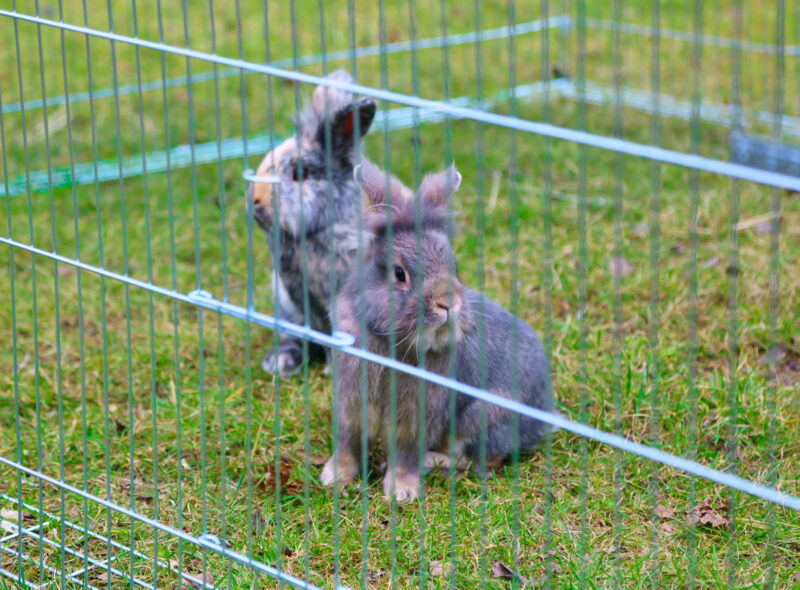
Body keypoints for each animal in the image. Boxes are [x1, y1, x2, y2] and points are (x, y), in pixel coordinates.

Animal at [322, 163, 552, 504]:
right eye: (399, 273)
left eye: (453, 268)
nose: (448, 303)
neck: (391, 342)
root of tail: (540, 420)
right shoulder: (350, 408)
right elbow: (347, 444)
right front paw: (334, 477)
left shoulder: (415, 421)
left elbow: (404, 454)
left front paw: (402, 492)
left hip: (482, 417)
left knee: (480, 462)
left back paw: (432, 461)